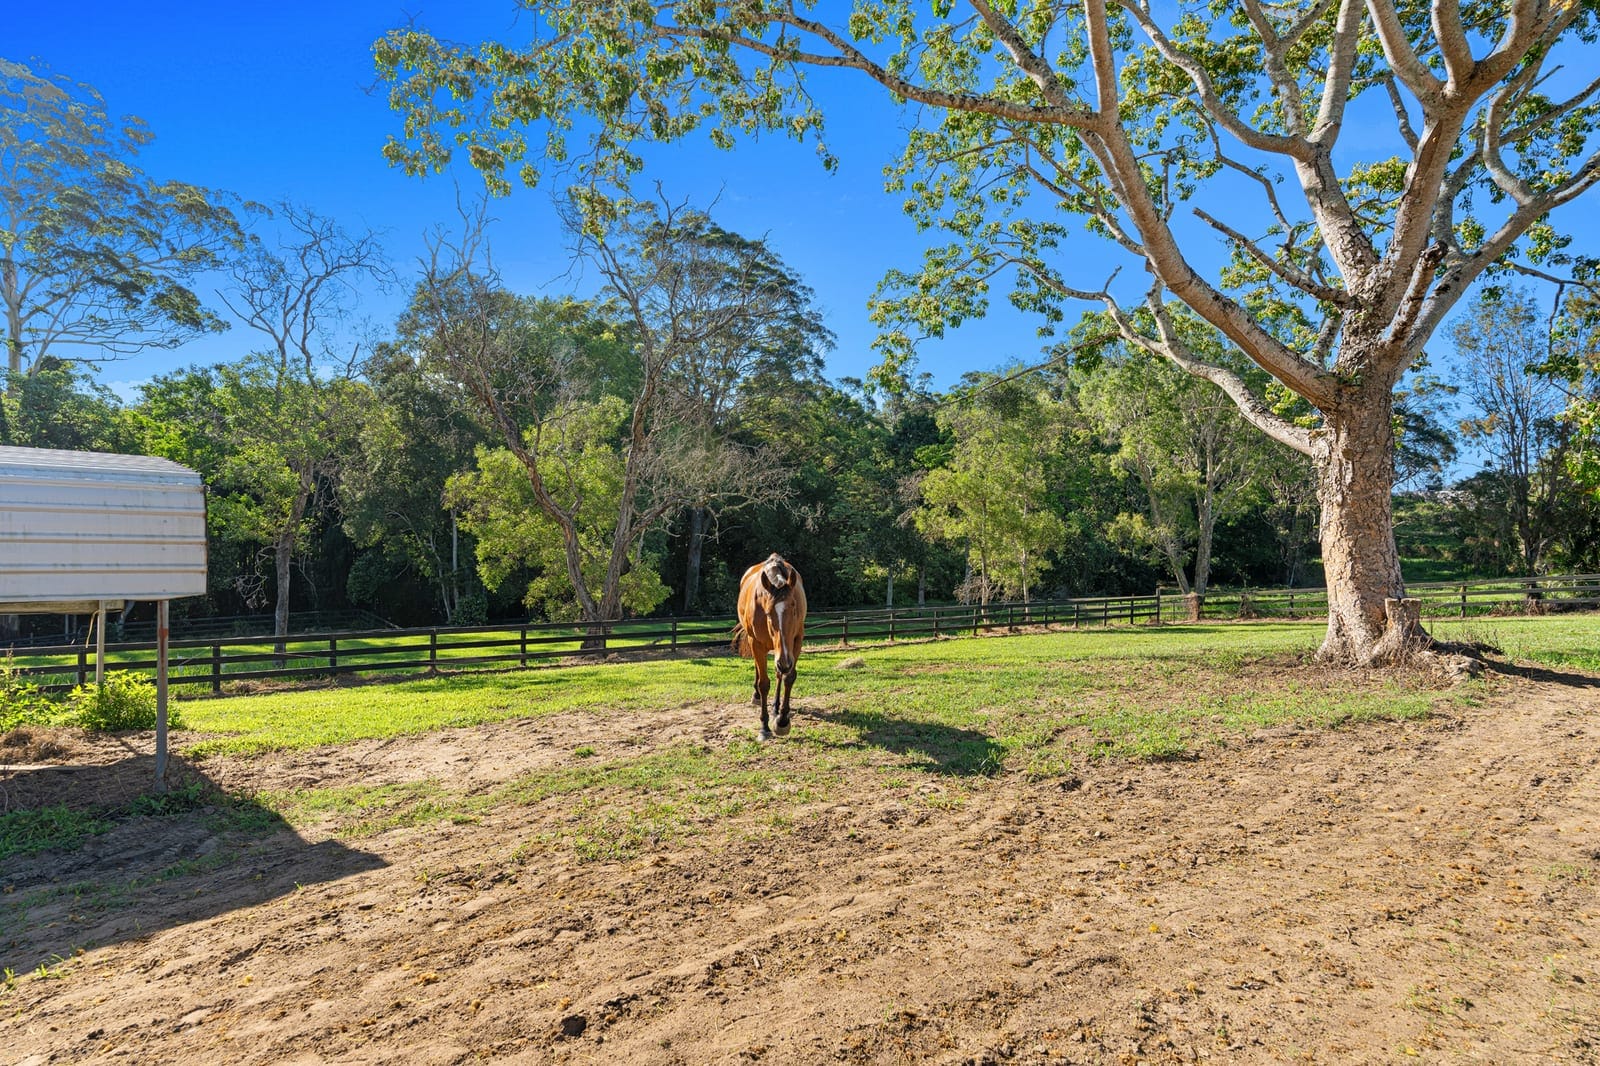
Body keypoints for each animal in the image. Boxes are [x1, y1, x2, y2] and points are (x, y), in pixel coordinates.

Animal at [732, 552, 807, 740]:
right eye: (767, 612)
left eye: (794, 609)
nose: (785, 662)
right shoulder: (757, 644)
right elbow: (764, 683)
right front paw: (764, 727)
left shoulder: (795, 642)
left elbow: (788, 677)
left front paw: (782, 720)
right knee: (759, 670)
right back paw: (757, 696)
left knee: (780, 673)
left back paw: (775, 707)